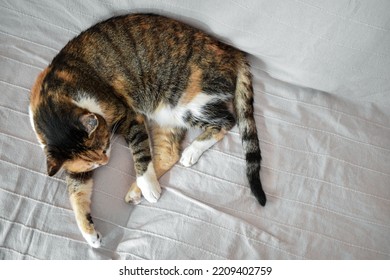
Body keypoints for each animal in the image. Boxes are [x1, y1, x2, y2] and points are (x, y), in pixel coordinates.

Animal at [29, 14, 266, 248]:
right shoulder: (76, 167)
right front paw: (89, 234)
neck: (53, 99)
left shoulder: (130, 116)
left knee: (226, 121)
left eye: (105, 148)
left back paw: (188, 155)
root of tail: (230, 50)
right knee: (169, 153)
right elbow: (77, 192)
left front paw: (147, 184)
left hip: (185, 102)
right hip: (165, 115)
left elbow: (140, 152)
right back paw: (136, 192)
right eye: (94, 164)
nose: (105, 162)